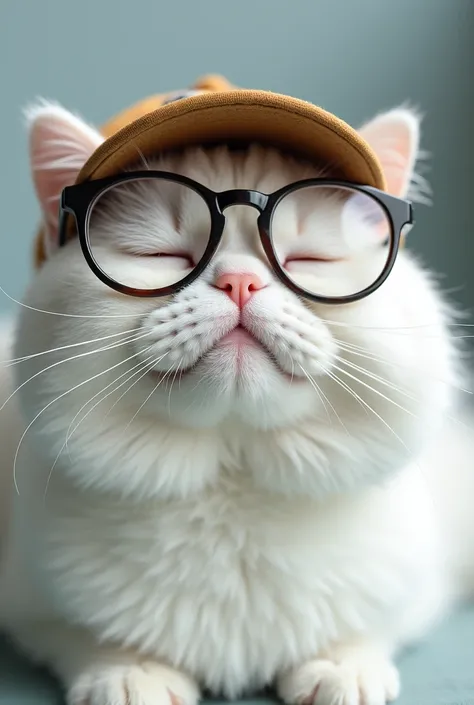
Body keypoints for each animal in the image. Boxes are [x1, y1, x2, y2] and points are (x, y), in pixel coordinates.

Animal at [0, 99, 472, 704]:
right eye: (163, 256)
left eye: (310, 261)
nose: (241, 282)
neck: (233, 480)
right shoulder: (28, 605)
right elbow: (80, 633)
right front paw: (131, 673)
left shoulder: (418, 584)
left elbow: (372, 624)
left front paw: (340, 667)